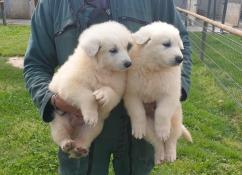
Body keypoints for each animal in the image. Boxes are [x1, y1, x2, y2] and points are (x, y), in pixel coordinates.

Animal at [49, 21, 132, 158]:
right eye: (113, 50)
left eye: (127, 48)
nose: (129, 64)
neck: (101, 69)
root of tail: (75, 131)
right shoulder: (69, 84)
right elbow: (87, 95)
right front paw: (91, 115)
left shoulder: (117, 90)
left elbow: (110, 92)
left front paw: (102, 95)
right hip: (59, 121)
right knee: (60, 134)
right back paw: (67, 143)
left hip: (94, 128)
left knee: (84, 138)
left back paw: (80, 149)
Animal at [124, 21, 192, 164]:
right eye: (166, 44)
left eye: (179, 46)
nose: (180, 58)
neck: (154, 68)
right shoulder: (131, 93)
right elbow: (137, 111)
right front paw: (138, 129)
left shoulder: (170, 94)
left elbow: (162, 112)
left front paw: (162, 131)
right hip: (149, 128)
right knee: (157, 143)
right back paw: (160, 156)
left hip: (175, 118)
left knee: (172, 139)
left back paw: (170, 154)